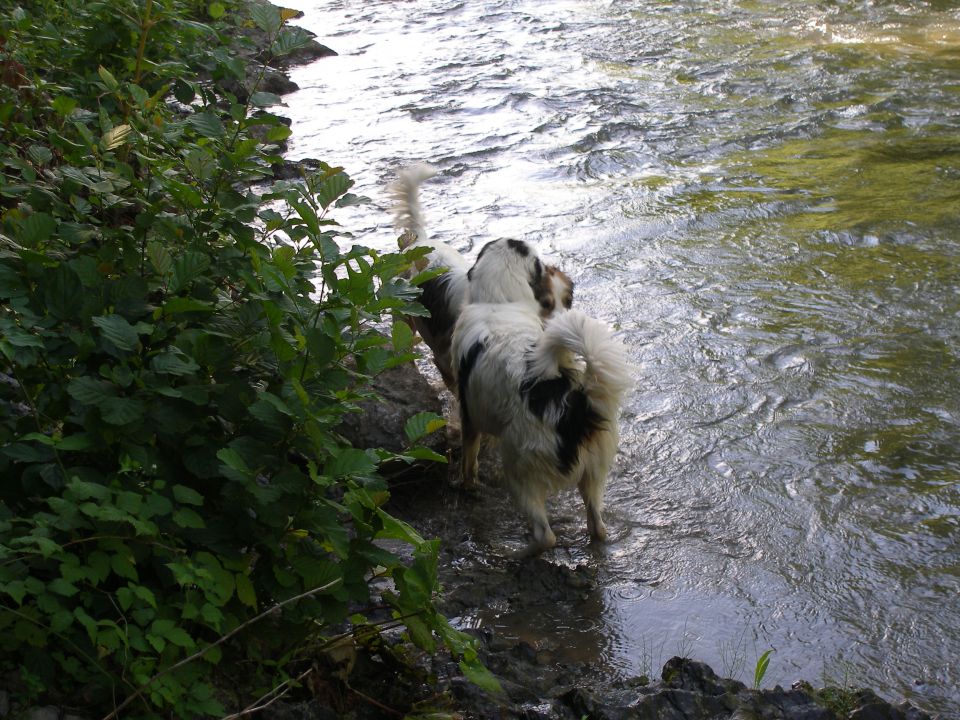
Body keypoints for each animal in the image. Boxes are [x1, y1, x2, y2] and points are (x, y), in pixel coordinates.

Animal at [454, 245, 632, 556]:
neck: (499, 304)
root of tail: (572, 406)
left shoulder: (469, 415)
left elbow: (469, 459)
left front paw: (466, 485)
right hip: (594, 471)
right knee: (597, 524)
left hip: (520, 469)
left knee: (545, 535)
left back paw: (516, 552)